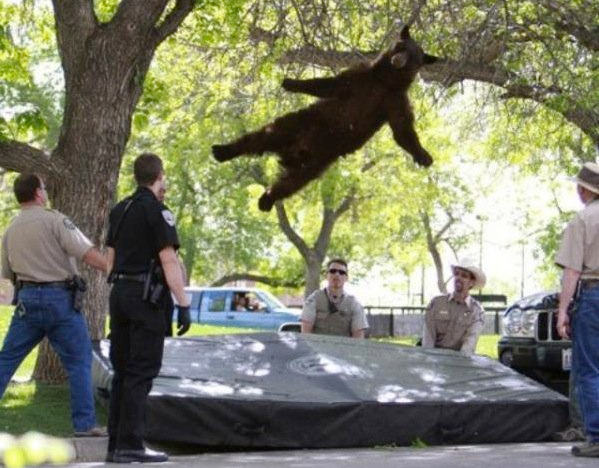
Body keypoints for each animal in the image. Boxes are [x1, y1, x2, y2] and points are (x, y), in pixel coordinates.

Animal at [213, 25, 438, 212]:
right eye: (401, 46)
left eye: (413, 57)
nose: (399, 59)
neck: (385, 80)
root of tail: (291, 153)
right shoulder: (361, 77)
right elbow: (329, 85)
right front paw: (291, 82)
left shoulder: (394, 100)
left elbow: (402, 129)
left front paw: (423, 155)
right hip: (298, 123)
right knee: (260, 137)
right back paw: (224, 150)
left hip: (317, 162)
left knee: (291, 183)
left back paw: (266, 199)